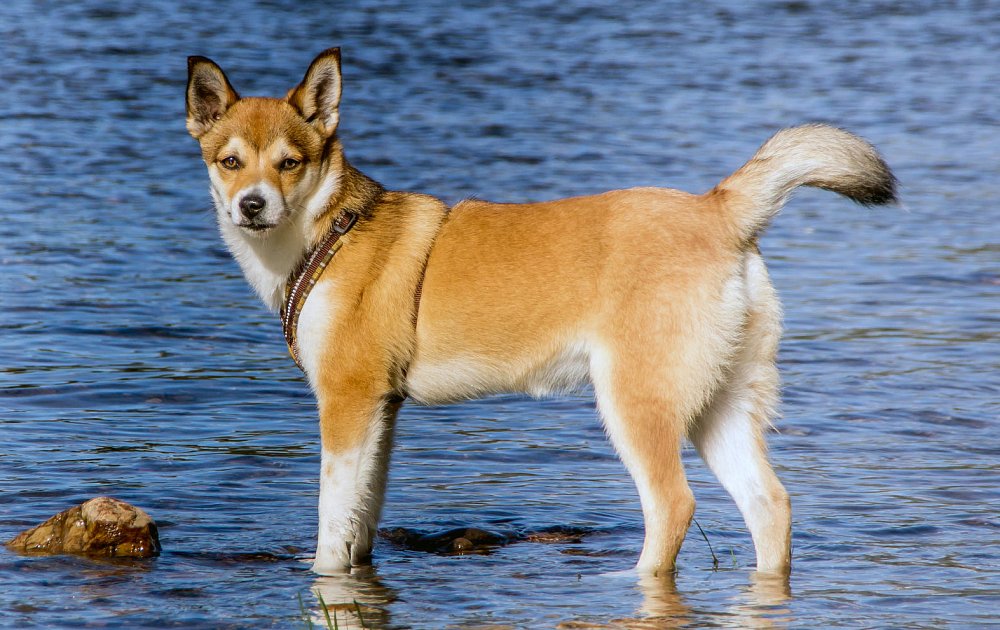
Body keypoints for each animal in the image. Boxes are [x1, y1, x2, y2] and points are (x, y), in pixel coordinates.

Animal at [186, 48, 900, 576]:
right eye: (229, 161)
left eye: (290, 163)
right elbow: (362, 519)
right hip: (719, 407)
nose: (251, 205)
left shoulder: (346, 402)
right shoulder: (381, 414)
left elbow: (331, 524)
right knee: (770, 505)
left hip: (635, 404)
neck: (326, 234)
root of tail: (719, 211)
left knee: (673, 507)